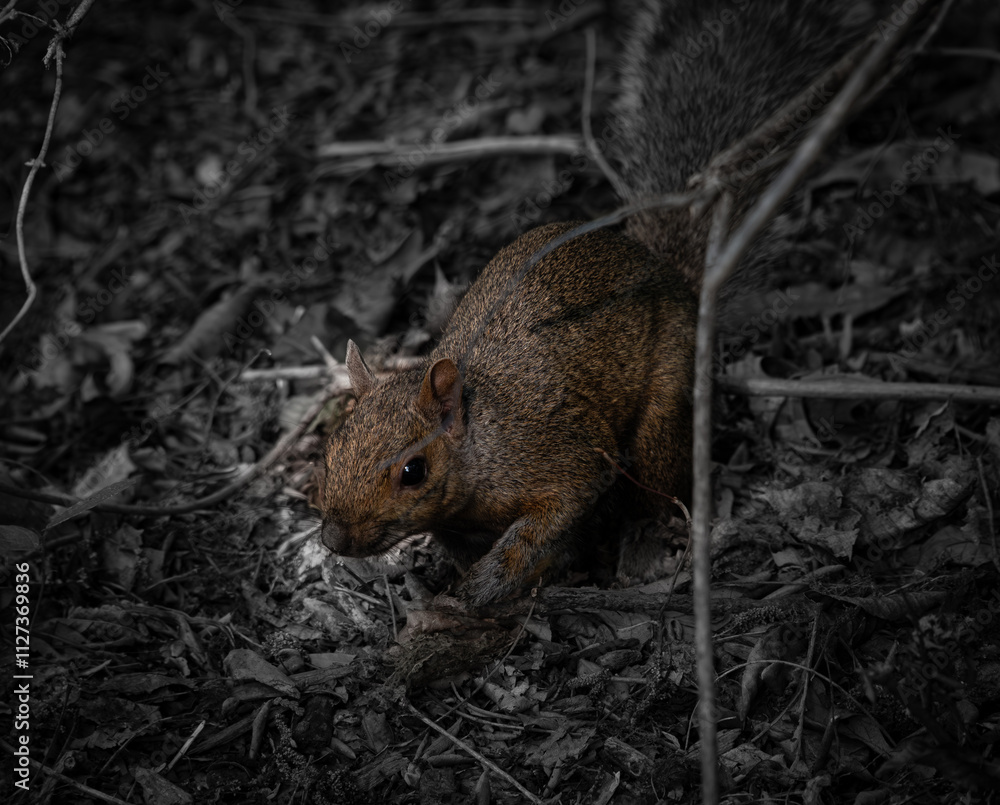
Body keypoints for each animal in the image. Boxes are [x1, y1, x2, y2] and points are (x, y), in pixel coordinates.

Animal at [321, 0, 882, 606]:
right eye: (330, 448)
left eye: (413, 471)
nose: (331, 539)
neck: (482, 441)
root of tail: (672, 275)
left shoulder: (561, 454)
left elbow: (555, 514)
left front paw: (492, 580)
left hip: (663, 408)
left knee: (658, 489)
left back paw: (639, 542)